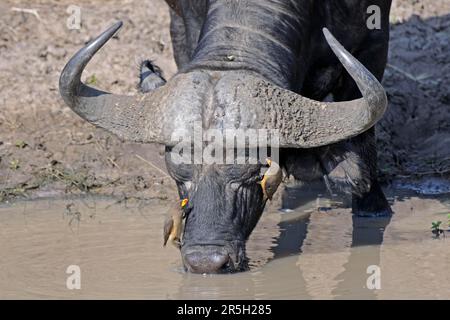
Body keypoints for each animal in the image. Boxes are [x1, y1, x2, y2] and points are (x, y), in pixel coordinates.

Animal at [59, 0, 390, 272]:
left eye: (250, 176)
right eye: (179, 177)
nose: (205, 262)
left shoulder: (373, 43)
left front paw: (373, 208)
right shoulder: (182, 26)